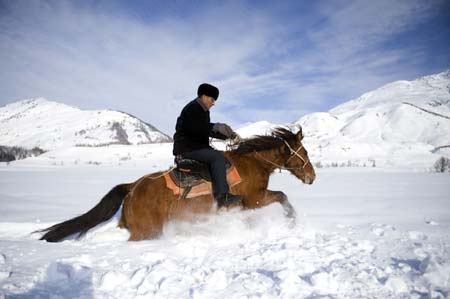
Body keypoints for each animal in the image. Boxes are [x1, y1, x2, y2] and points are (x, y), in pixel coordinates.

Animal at [38, 126, 314, 241]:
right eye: (304, 152)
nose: (312, 177)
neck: (251, 162)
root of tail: (132, 187)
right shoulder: (254, 199)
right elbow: (283, 197)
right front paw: (292, 223)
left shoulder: (247, 205)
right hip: (147, 231)